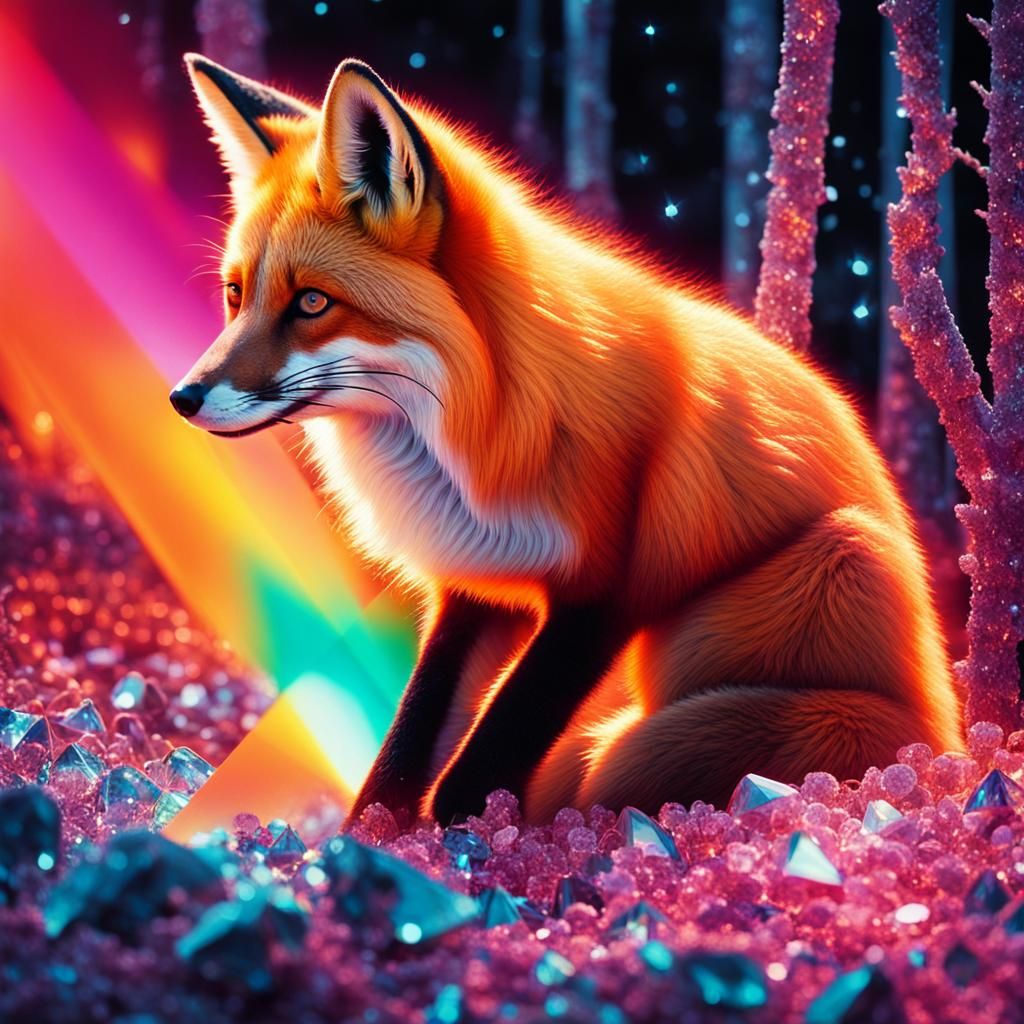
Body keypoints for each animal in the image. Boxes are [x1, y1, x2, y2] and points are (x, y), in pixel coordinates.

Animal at [171, 53, 963, 826]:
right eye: (237, 295)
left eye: (311, 302)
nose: (183, 399)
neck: (480, 424)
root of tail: (948, 737)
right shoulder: (475, 583)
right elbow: (402, 754)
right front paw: (370, 840)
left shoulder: (603, 592)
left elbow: (479, 764)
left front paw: (475, 843)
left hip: (836, 562)